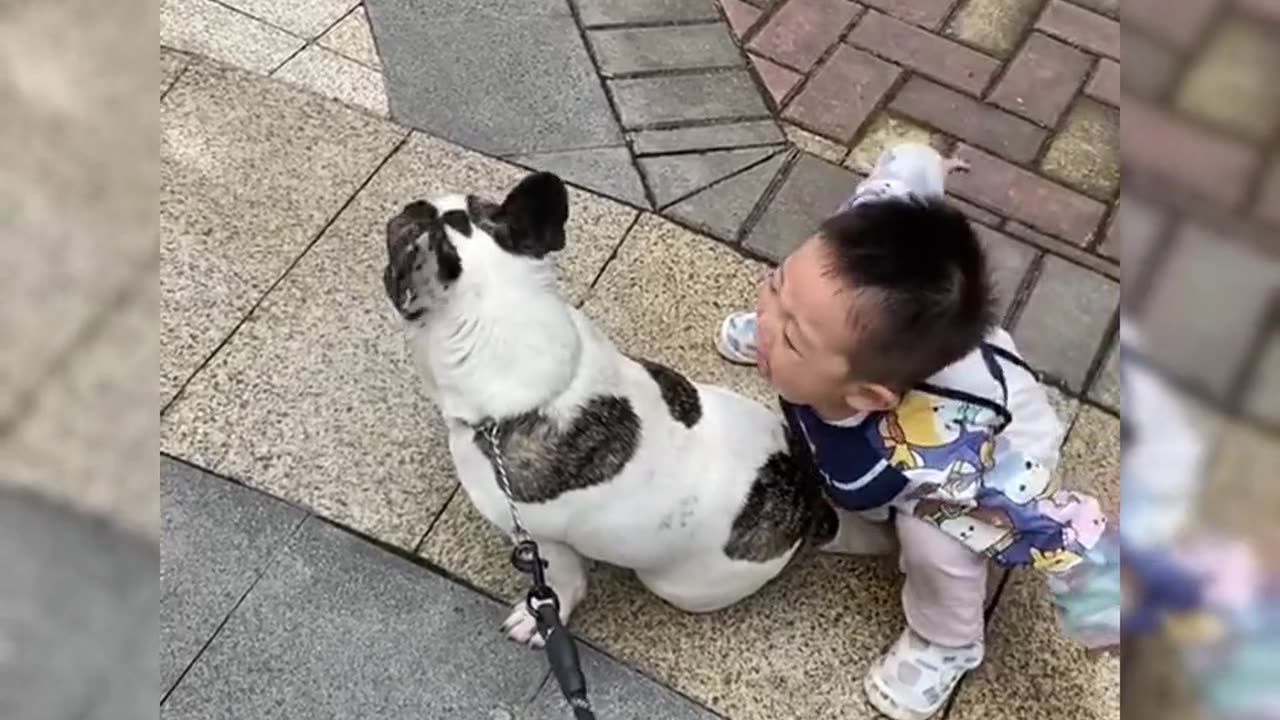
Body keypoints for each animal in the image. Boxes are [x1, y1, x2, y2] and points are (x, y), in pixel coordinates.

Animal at [384, 170, 834, 640]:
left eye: (399, 238)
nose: (418, 203)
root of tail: (806, 494)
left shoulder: (540, 538)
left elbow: (561, 580)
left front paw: (539, 617)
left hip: (676, 584)